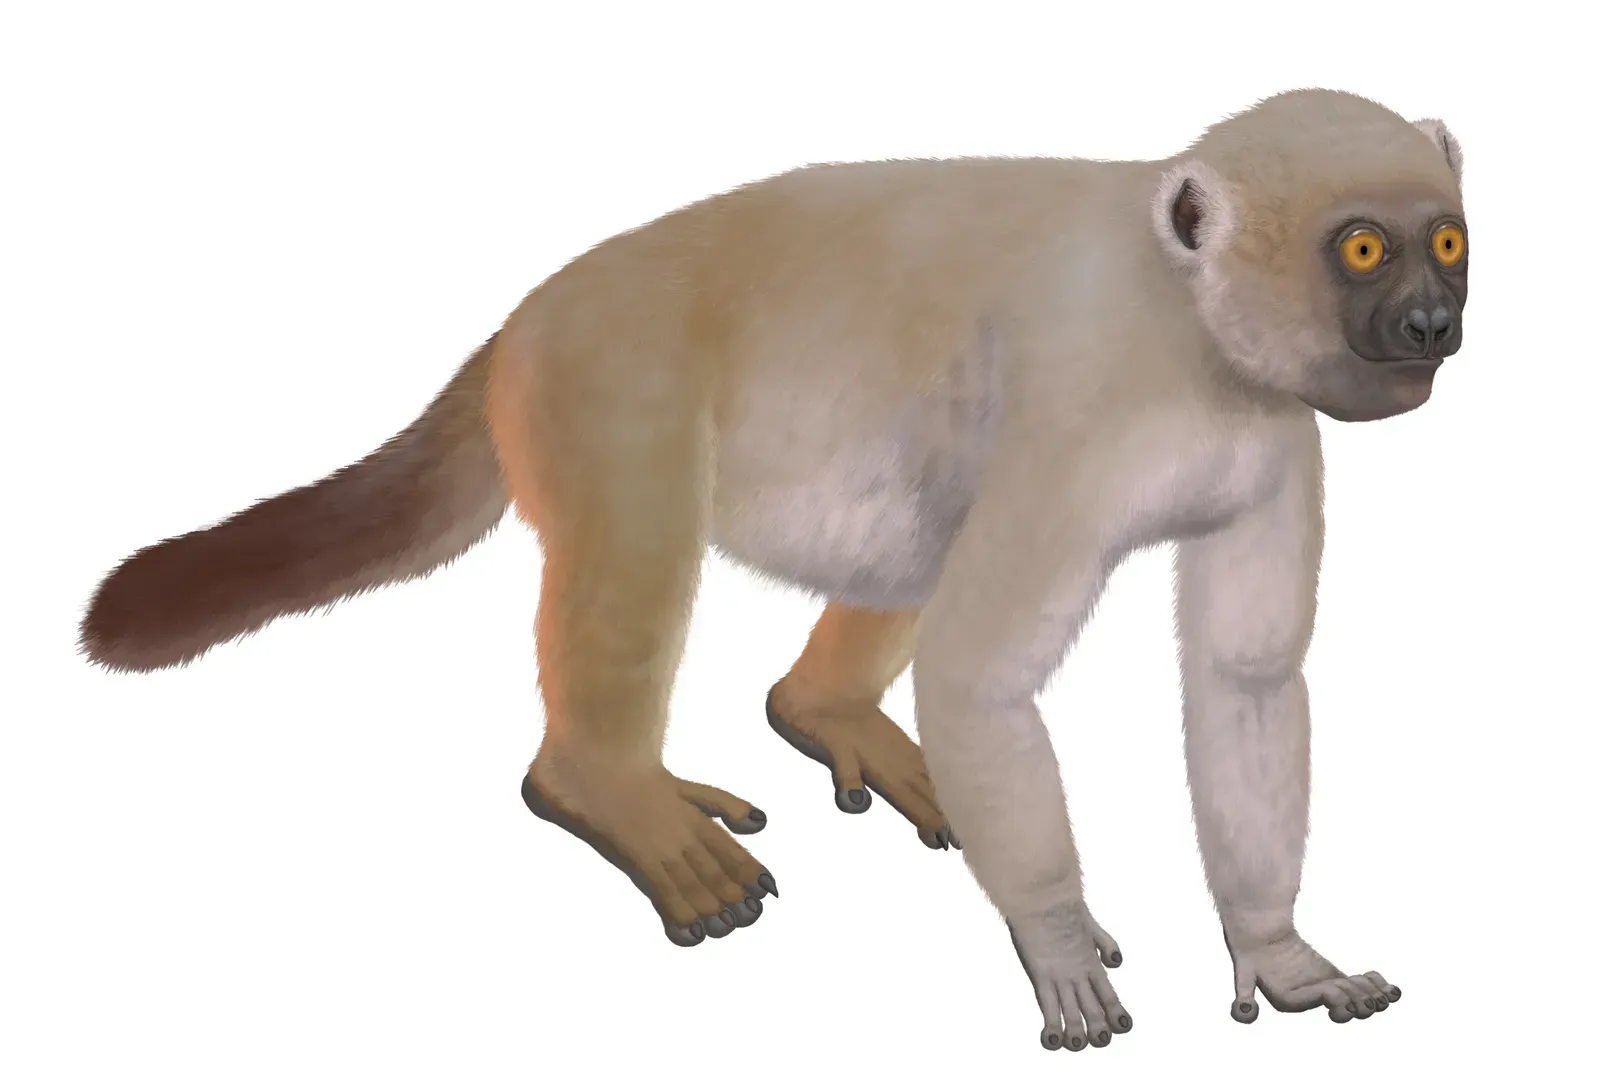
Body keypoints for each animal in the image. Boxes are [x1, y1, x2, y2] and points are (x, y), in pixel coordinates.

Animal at [79, 87, 1466, 1050]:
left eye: (1445, 243)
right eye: (1362, 250)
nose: (1433, 323)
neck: (1197, 338)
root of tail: (519, 324)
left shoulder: (1270, 433)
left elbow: (1242, 680)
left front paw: (1275, 946)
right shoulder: (1086, 403)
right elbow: (981, 671)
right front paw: (1057, 937)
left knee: (920, 512)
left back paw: (825, 709)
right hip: (599, 378)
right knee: (648, 540)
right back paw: (604, 785)